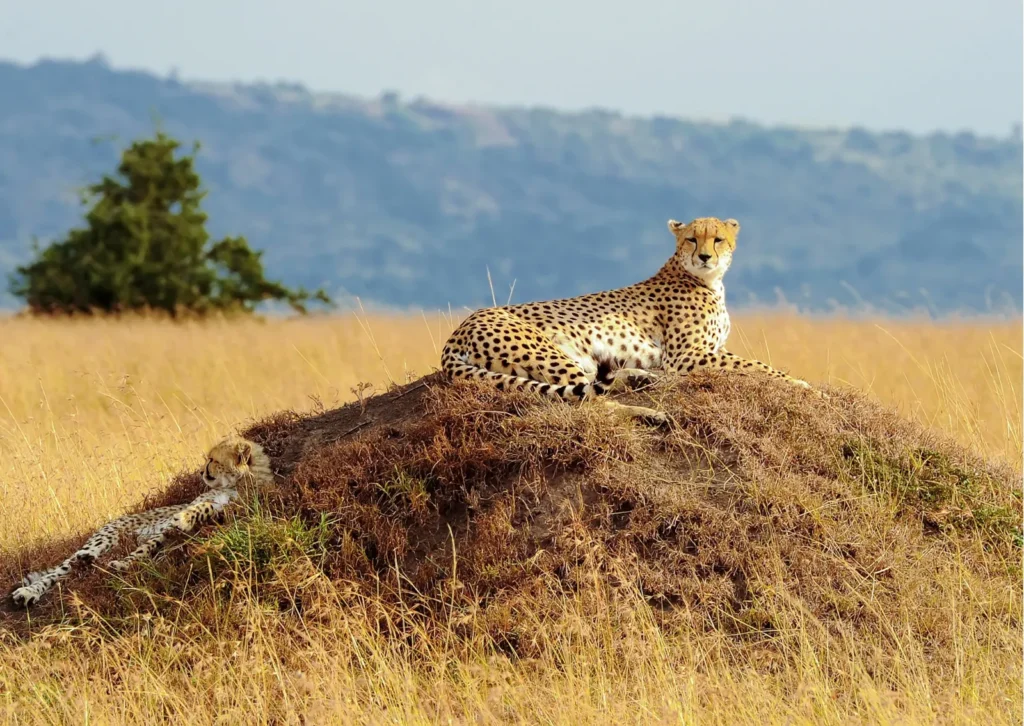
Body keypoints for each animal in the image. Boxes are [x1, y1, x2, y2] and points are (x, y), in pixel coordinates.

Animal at [10, 436, 272, 608]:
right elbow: (149, 544)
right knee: (60, 571)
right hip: (104, 538)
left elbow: (207, 508)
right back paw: (30, 591)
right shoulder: (168, 527)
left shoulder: (232, 511)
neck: (235, 483)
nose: (200, 472)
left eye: (213, 460)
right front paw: (125, 563)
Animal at [441, 216, 814, 422]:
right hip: (546, 353)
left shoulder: (696, 354)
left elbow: (753, 365)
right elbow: (758, 366)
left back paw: (643, 379)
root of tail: (458, 330)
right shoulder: (686, 356)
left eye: (718, 238)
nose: (706, 256)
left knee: (597, 383)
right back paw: (652, 413)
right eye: (692, 239)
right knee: (587, 401)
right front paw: (801, 385)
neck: (707, 280)